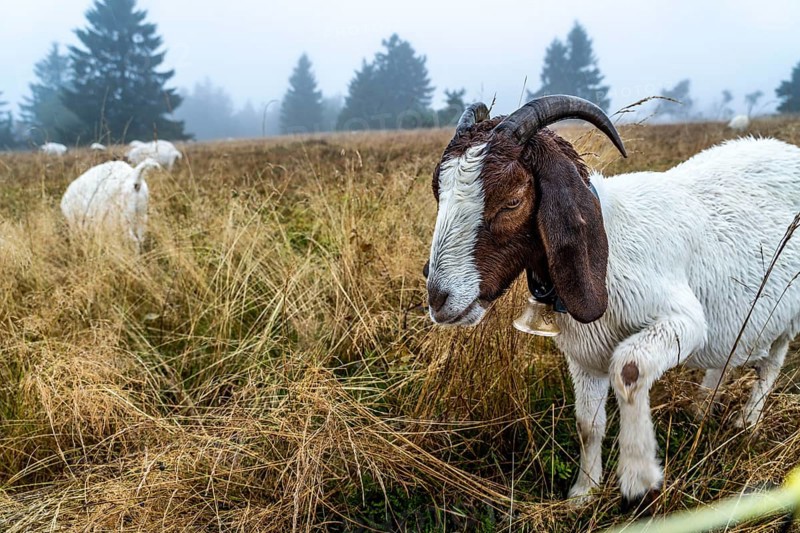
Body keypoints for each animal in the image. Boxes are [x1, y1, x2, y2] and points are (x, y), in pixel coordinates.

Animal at [423, 95, 800, 508]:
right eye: (438, 193)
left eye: (512, 201)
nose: (439, 298)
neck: (608, 249)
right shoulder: (584, 357)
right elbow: (588, 424)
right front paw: (583, 492)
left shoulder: (684, 321)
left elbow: (629, 368)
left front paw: (638, 476)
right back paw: (702, 408)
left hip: (787, 315)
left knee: (771, 365)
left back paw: (746, 421)